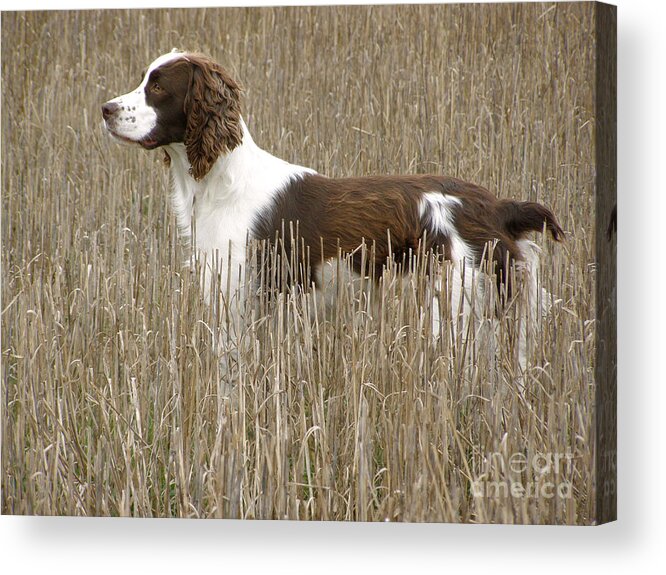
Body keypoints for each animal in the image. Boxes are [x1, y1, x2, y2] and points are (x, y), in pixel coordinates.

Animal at [102, 53, 560, 352]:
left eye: (158, 86)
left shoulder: (237, 300)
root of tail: (498, 206)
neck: (222, 183)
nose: (105, 109)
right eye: (143, 79)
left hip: (457, 302)